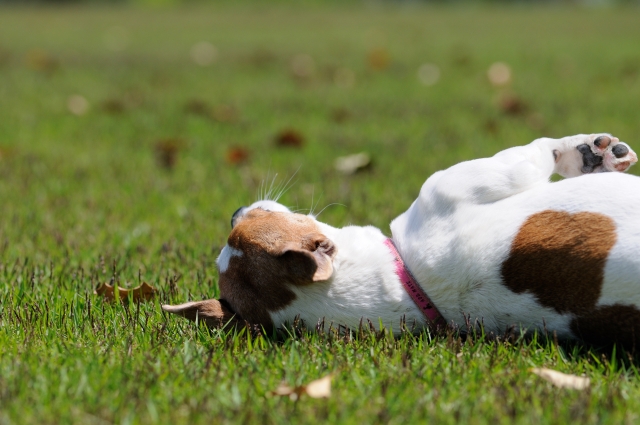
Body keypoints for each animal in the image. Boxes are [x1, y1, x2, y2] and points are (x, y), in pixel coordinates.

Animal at [161, 134, 640, 346]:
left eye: (245, 226)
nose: (235, 210)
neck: (408, 283)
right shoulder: (483, 177)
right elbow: (543, 149)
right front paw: (587, 152)